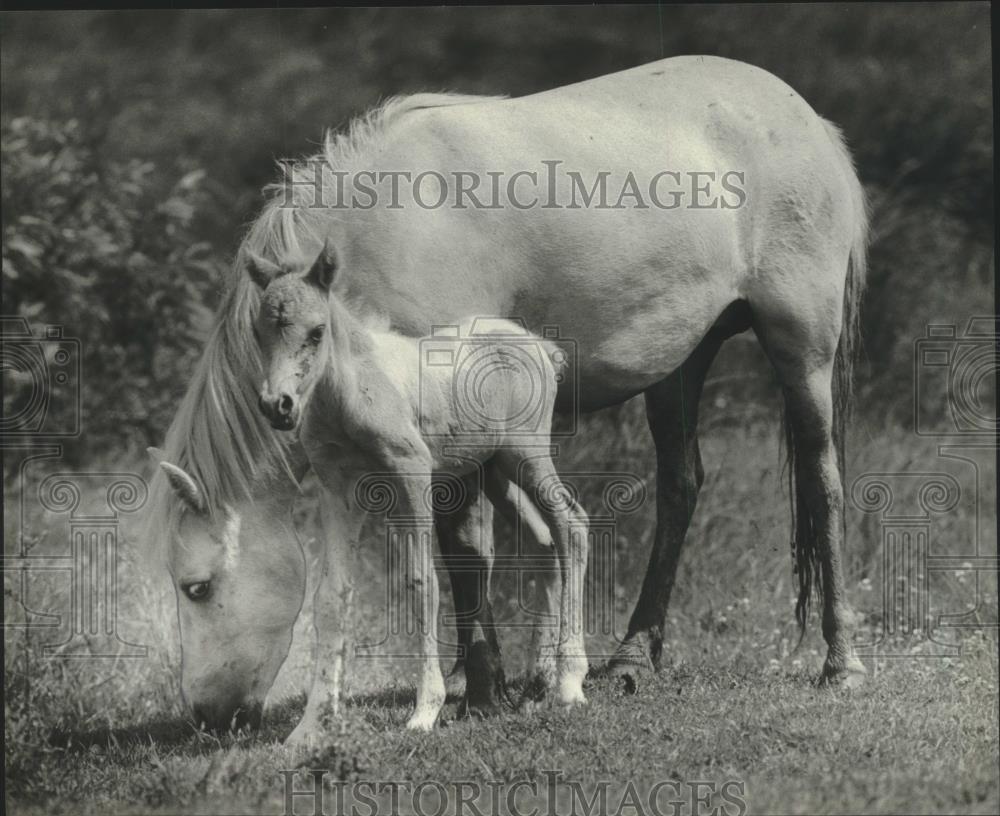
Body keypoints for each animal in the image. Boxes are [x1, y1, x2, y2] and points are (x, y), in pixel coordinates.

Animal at [247, 245, 588, 736]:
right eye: (259, 332)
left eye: (316, 331)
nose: (278, 406)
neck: (351, 392)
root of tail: (543, 347)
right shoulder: (338, 487)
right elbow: (331, 594)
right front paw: (310, 726)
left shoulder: (412, 473)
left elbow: (422, 581)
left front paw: (425, 710)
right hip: (495, 468)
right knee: (545, 539)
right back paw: (539, 683)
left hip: (528, 452)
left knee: (572, 524)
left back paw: (570, 683)